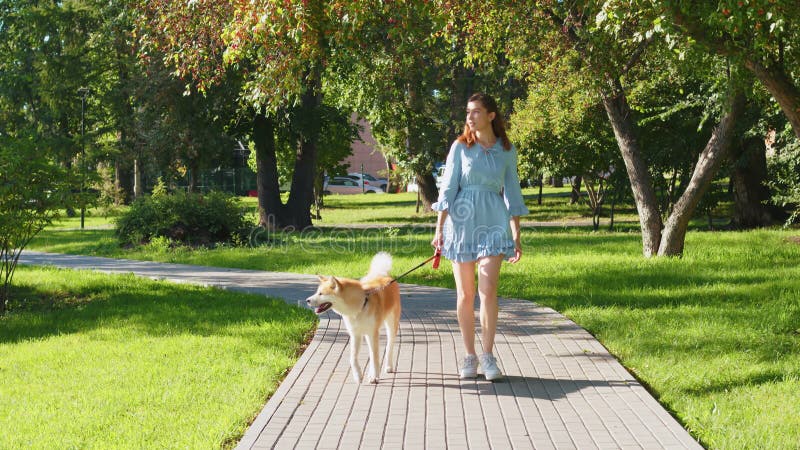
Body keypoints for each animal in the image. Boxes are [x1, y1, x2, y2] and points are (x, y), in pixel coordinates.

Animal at [308, 251, 404, 384]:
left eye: (321, 293)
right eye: (317, 292)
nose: (307, 300)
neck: (359, 307)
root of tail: (385, 277)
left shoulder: (373, 333)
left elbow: (375, 357)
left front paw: (374, 376)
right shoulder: (355, 335)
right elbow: (353, 358)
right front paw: (358, 375)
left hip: (390, 326)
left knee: (389, 347)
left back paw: (388, 366)